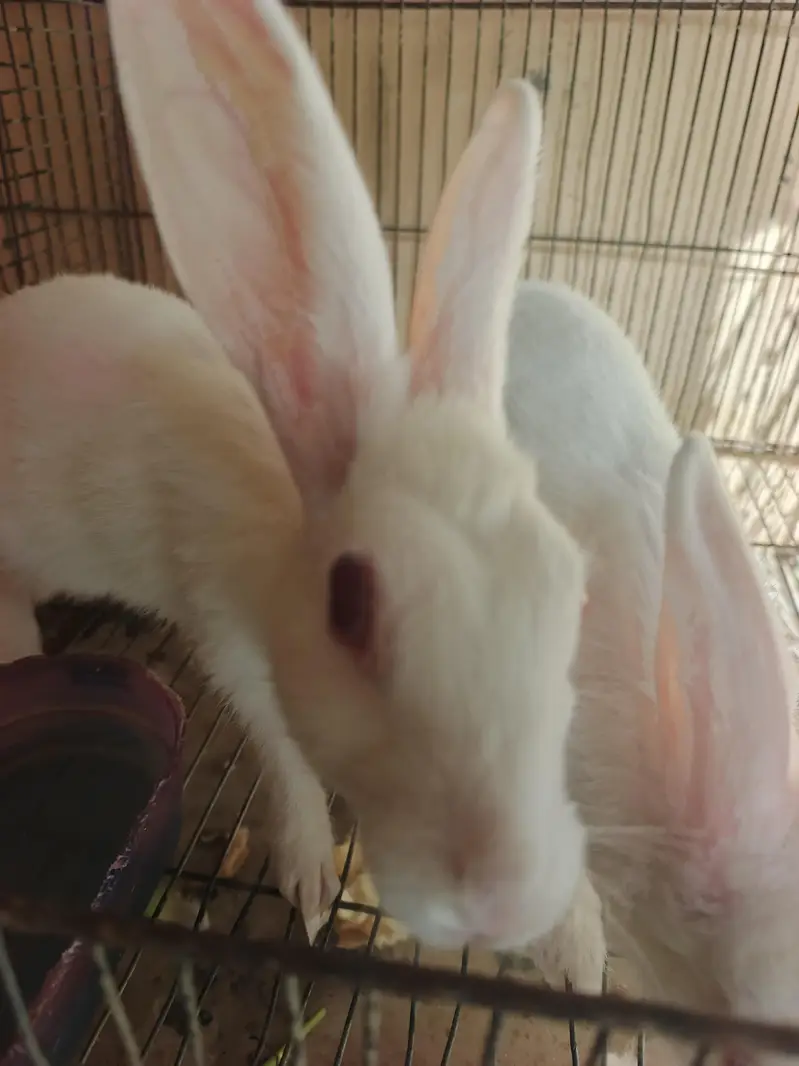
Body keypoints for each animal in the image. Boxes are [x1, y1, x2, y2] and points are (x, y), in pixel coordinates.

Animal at [0, 0, 605, 969]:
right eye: (348, 604)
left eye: (573, 594)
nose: (502, 902)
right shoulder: (227, 632)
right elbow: (281, 750)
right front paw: (312, 878)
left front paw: (579, 942)